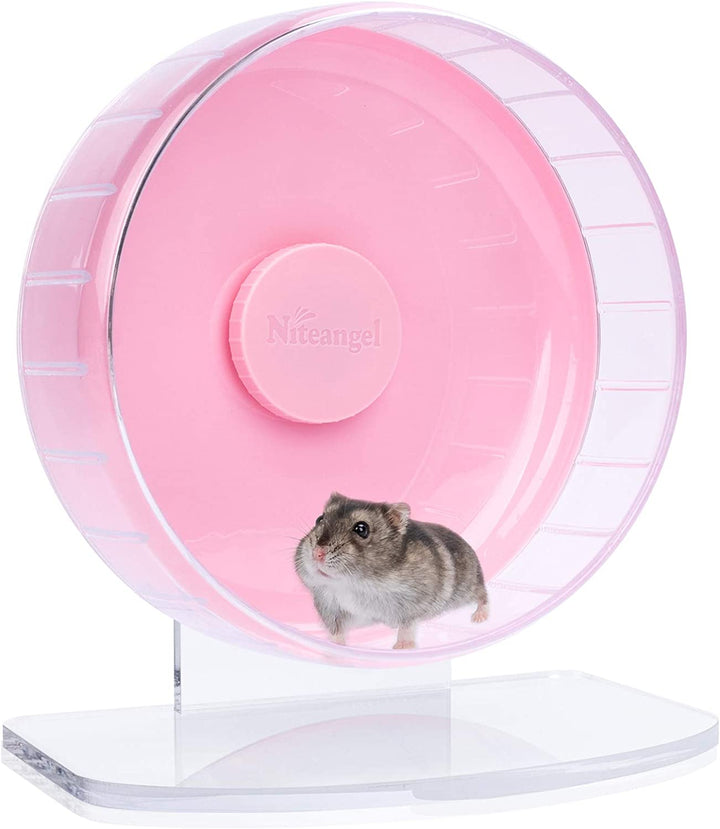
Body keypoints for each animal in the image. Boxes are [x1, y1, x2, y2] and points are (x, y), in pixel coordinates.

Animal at [294, 492, 489, 649]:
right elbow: (336, 630)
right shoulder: (329, 606)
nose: (317, 553)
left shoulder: (414, 603)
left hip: (470, 585)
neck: (356, 583)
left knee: (483, 596)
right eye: (319, 519)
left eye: (361, 529)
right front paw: (336, 648)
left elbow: (406, 625)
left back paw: (479, 618)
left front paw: (401, 647)